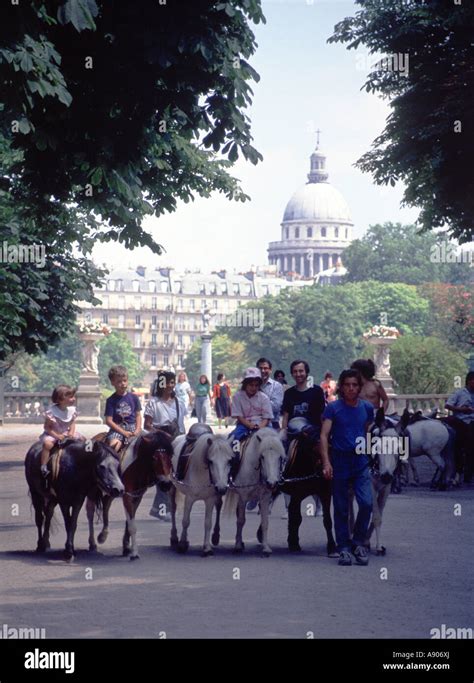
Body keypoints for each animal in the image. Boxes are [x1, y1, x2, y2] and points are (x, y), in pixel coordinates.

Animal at [85, 432, 174, 560]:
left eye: (170, 456)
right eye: (154, 458)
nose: (166, 484)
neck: (136, 467)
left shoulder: (137, 496)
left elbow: (129, 522)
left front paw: (127, 547)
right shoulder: (127, 496)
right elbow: (132, 525)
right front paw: (134, 552)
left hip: (112, 491)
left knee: (106, 506)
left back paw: (103, 535)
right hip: (93, 490)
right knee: (90, 512)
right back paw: (92, 543)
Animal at [223, 430, 286, 560]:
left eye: (279, 457)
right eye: (262, 456)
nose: (272, 482)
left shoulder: (265, 498)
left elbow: (265, 522)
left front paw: (266, 548)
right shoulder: (243, 497)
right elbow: (241, 521)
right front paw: (237, 547)